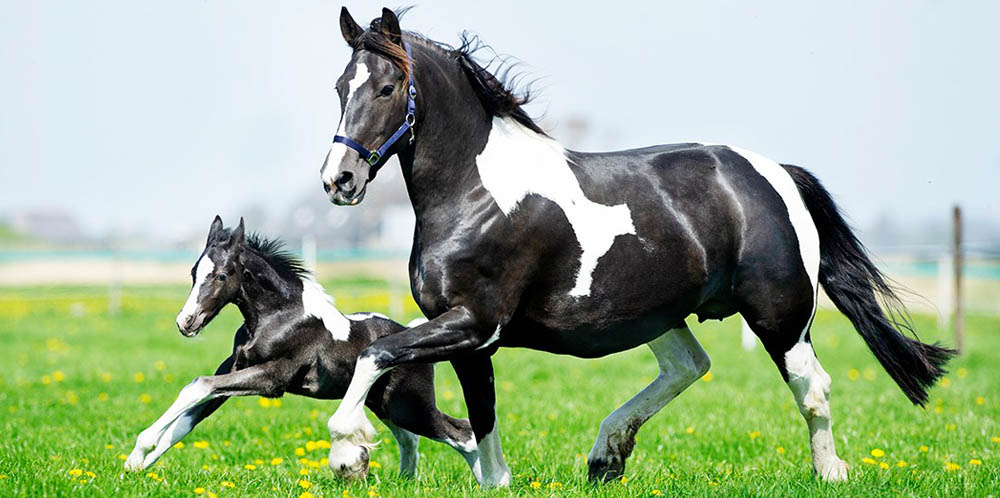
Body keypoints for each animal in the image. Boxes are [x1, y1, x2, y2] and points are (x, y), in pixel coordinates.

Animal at [125, 217, 476, 478]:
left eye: (222, 275)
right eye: (193, 273)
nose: (186, 322)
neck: (278, 316)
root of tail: (413, 336)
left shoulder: (271, 379)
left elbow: (197, 386)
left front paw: (140, 450)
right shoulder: (234, 371)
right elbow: (188, 418)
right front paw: (135, 464)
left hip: (410, 405)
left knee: (463, 434)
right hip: (387, 406)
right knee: (411, 439)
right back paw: (402, 480)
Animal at [316, 5, 956, 484]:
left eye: (388, 86)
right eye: (340, 87)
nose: (338, 180)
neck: (478, 194)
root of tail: (775, 174)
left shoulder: (473, 323)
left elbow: (376, 354)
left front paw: (349, 450)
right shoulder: (472, 340)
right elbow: (483, 426)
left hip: (781, 317)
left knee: (811, 388)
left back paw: (831, 472)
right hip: (658, 314)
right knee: (689, 366)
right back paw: (606, 456)